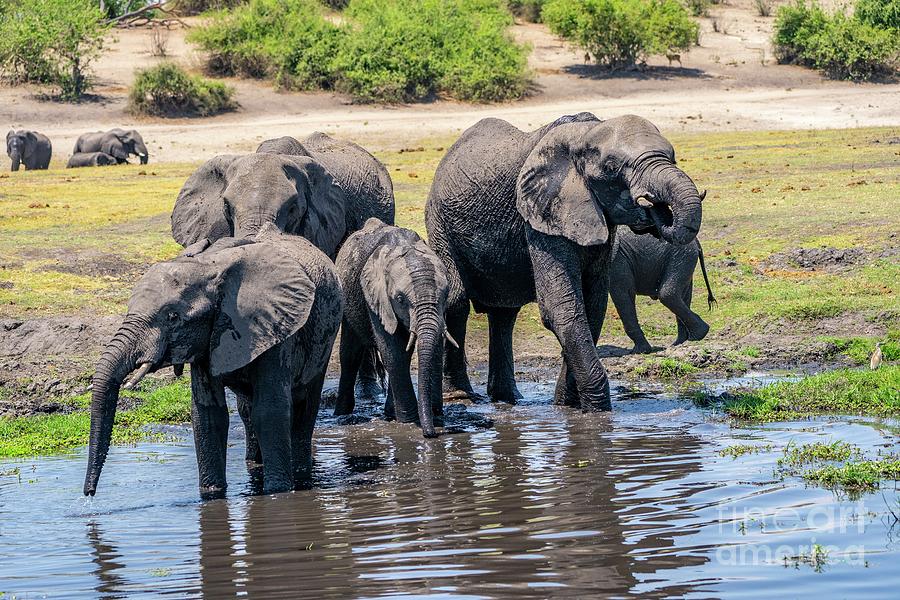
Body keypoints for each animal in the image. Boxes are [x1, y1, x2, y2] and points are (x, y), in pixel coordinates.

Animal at [82, 227, 342, 500]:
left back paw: (300, 470)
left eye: (173, 317)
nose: (89, 495)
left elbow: (270, 412)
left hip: (324, 337)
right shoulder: (207, 341)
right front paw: (211, 494)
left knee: (305, 404)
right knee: (248, 409)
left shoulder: (276, 328)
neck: (209, 266)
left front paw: (277, 492)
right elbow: (208, 416)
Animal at [334, 218, 454, 438]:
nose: (431, 434)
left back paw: (390, 413)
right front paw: (409, 422)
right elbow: (393, 353)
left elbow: (428, 349)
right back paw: (342, 414)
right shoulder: (375, 296)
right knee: (350, 355)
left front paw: (433, 417)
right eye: (399, 299)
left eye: (445, 295)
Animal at [428, 112, 704, 412]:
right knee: (457, 301)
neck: (584, 133)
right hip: (440, 225)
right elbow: (562, 308)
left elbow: (593, 307)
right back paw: (462, 397)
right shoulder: (541, 216)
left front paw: (566, 407)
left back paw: (508, 399)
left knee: (504, 313)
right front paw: (595, 412)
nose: (651, 203)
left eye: (672, 157)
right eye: (611, 168)